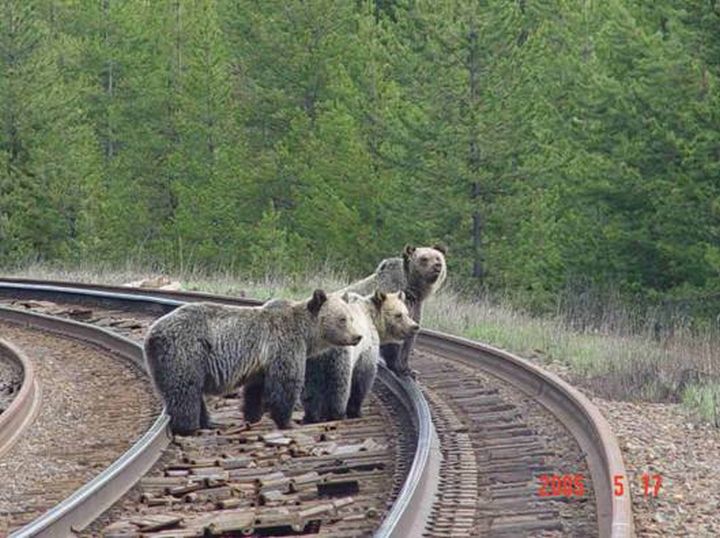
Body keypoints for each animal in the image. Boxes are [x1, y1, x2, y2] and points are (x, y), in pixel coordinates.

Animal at [144, 289, 362, 435]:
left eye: (351, 318)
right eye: (342, 319)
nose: (357, 336)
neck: (306, 334)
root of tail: (151, 335)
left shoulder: (261, 363)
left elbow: (256, 389)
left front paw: (252, 415)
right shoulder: (285, 344)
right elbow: (286, 383)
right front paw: (287, 421)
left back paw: (209, 422)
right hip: (186, 351)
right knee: (185, 390)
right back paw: (190, 427)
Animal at [302, 290, 419, 423]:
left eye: (407, 313)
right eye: (398, 315)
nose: (414, 326)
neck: (372, 319)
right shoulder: (366, 348)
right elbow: (362, 378)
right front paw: (356, 411)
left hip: (310, 359)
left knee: (310, 385)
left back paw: (311, 415)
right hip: (339, 353)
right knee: (339, 384)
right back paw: (337, 413)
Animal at [342, 244, 447, 377]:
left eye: (438, 257)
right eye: (424, 258)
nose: (437, 266)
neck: (411, 291)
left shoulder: (414, 308)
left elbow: (409, 341)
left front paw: (409, 369)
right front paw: (398, 367)